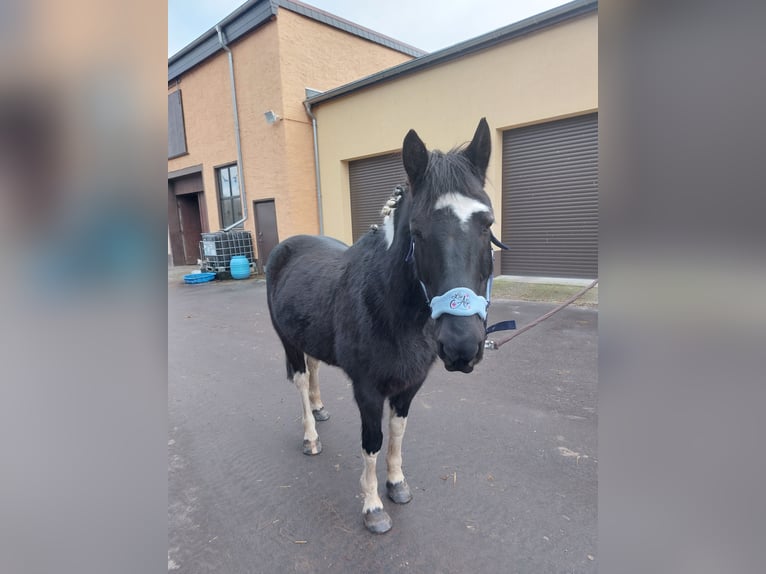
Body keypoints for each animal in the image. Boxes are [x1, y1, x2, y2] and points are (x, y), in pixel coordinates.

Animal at [268, 118, 500, 536]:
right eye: (418, 230)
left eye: (487, 225)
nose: (461, 346)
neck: (391, 310)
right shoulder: (368, 389)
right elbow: (372, 441)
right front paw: (373, 507)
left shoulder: (409, 385)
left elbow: (396, 433)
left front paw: (396, 485)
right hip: (287, 341)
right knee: (299, 378)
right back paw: (311, 436)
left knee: (313, 368)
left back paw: (320, 409)